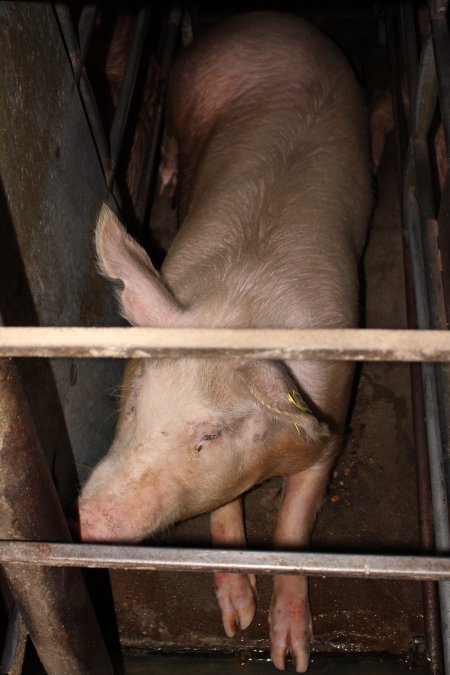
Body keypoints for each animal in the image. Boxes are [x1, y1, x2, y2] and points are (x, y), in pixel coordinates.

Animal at [78, 11, 372, 675]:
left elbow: (293, 528)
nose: (86, 519)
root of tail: (266, 19)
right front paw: (237, 619)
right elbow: (222, 510)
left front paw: (290, 655)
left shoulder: (332, 415)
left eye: (208, 435)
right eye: (133, 403)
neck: (240, 303)